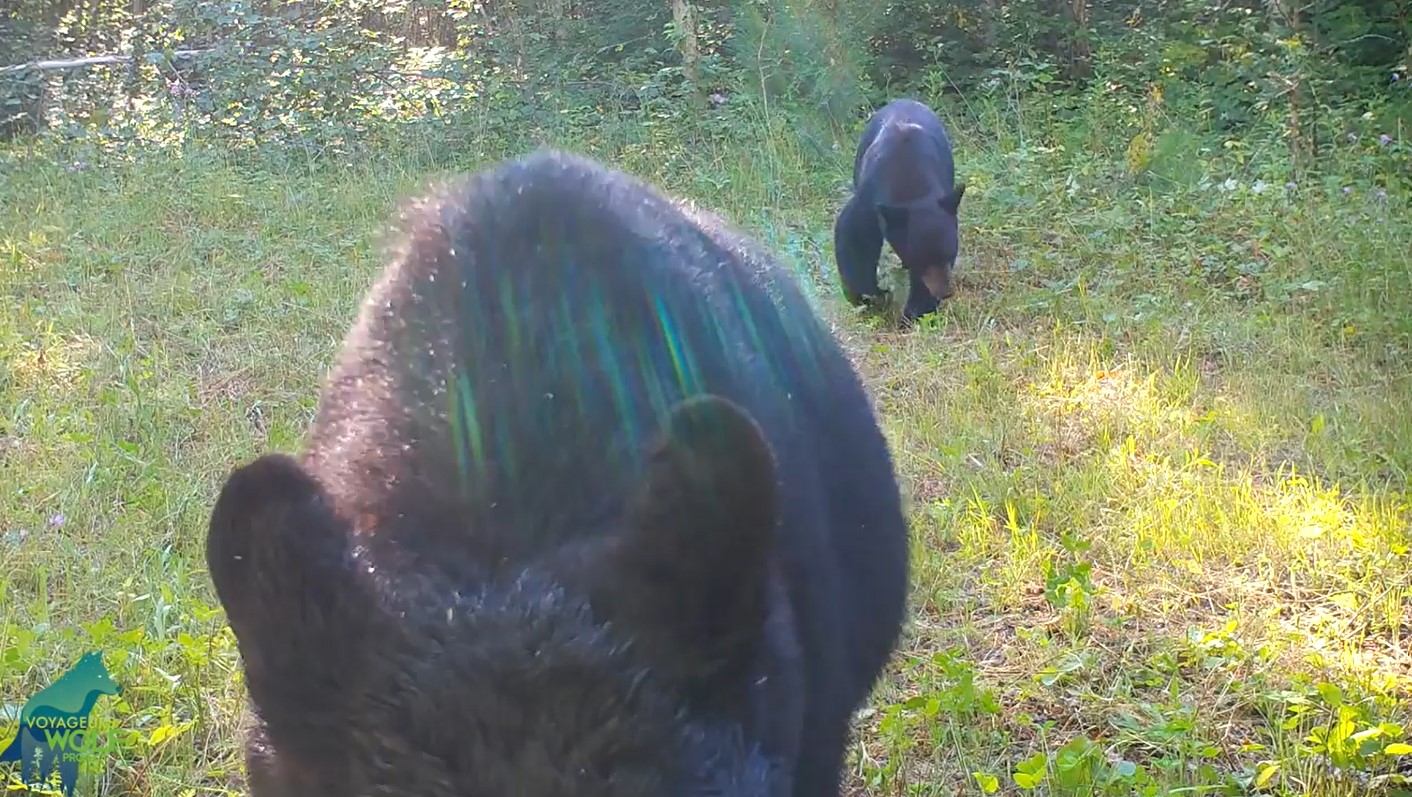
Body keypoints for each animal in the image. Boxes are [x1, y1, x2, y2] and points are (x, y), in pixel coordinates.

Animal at [833, 97, 966, 324]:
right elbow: (855, 237)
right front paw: (870, 298)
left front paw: (915, 310)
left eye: (950, 253)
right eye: (923, 259)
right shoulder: (870, 197)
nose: (946, 291)